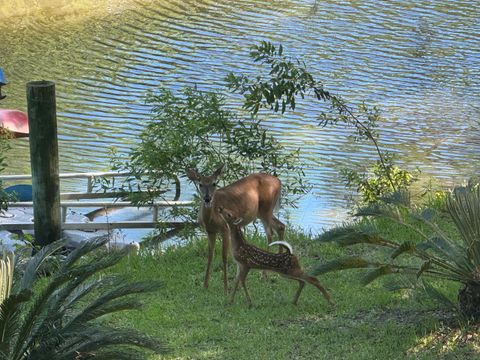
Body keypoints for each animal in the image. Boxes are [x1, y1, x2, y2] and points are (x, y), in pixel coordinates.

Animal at [186, 166, 284, 296]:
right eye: (200, 184)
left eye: (214, 183)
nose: (207, 198)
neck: (211, 219)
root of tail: (279, 181)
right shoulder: (210, 231)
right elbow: (210, 255)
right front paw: (205, 285)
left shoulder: (225, 229)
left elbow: (224, 257)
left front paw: (226, 288)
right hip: (261, 212)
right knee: (280, 226)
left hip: (266, 208)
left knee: (270, 232)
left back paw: (264, 275)